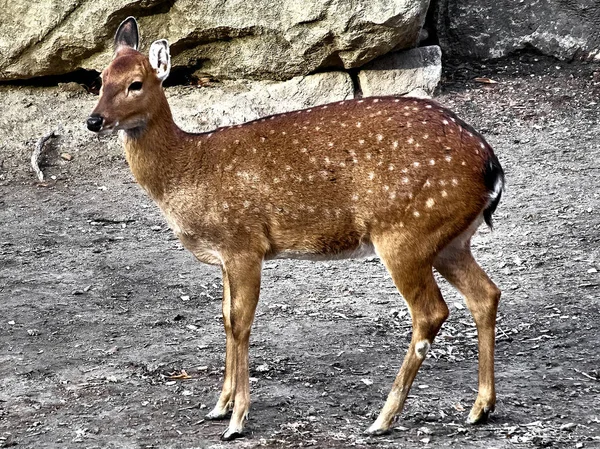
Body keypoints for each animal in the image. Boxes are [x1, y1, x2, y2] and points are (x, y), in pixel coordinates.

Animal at [86, 16, 504, 438]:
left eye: (136, 83)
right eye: (101, 78)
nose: (93, 120)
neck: (188, 168)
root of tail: (491, 166)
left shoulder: (244, 243)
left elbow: (241, 322)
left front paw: (237, 420)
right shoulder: (225, 256)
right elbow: (225, 319)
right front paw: (219, 406)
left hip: (405, 233)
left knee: (431, 312)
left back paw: (383, 419)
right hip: (448, 239)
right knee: (486, 294)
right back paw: (479, 408)